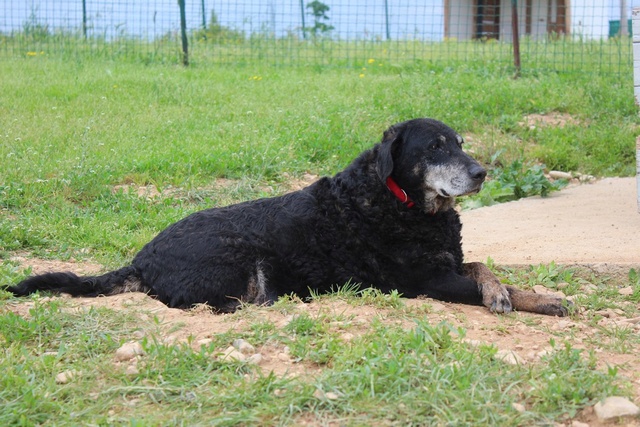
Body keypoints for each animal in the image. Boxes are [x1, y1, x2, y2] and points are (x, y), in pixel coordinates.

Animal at [6, 118, 568, 316]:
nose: (481, 173)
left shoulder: (449, 263)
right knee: (225, 306)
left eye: (460, 143)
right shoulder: (428, 280)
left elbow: (487, 268)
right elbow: (486, 280)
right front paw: (517, 298)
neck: (403, 204)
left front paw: (531, 296)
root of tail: (140, 259)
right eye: (434, 147)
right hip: (240, 257)